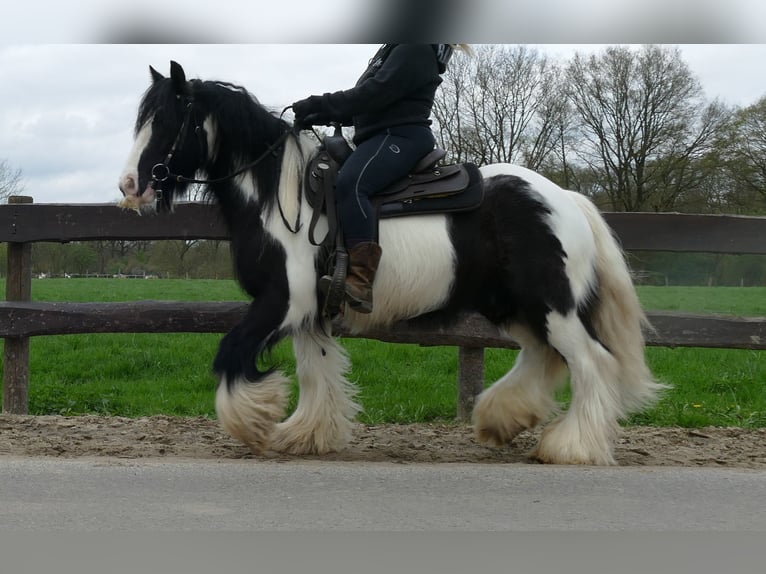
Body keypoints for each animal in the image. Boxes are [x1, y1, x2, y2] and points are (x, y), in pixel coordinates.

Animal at [120, 63, 664, 466]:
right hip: (514, 307)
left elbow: (231, 353)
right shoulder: (310, 311)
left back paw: (574, 446)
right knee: (542, 357)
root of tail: (567, 199)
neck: (281, 196)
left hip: (552, 306)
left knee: (591, 363)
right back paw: (501, 418)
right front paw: (308, 435)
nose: (130, 186)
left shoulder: (283, 301)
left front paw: (253, 422)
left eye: (167, 121)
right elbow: (316, 370)